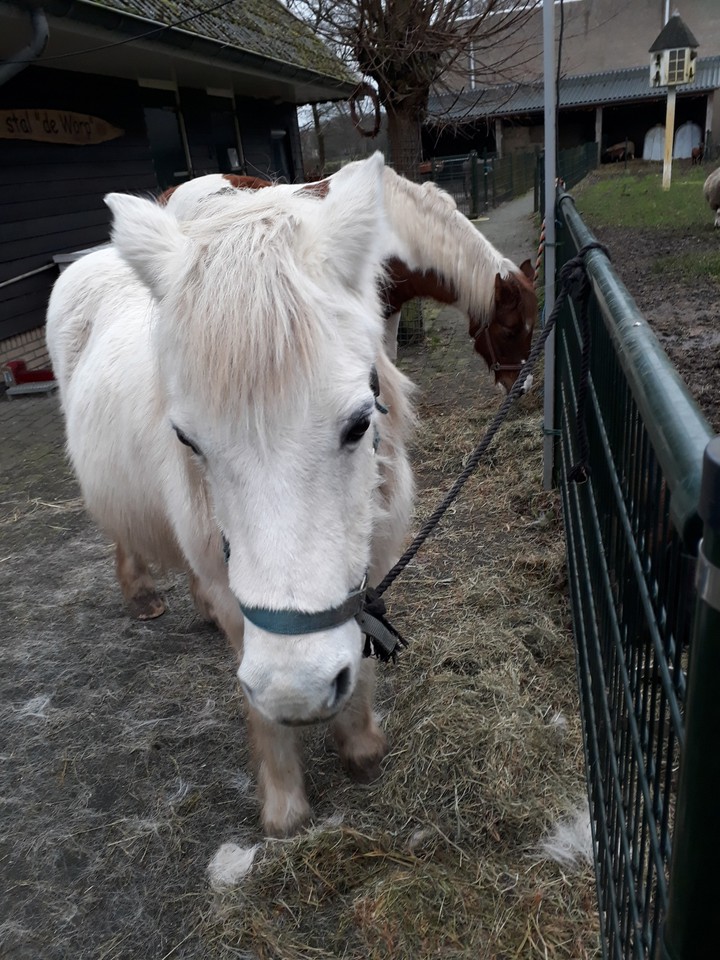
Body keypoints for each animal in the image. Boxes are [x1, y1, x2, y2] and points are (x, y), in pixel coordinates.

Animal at [45, 154, 416, 837]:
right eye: (188, 440)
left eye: (359, 424)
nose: (297, 691)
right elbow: (261, 711)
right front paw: (284, 805)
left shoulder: (370, 566)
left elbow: (360, 646)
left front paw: (361, 747)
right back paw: (141, 595)